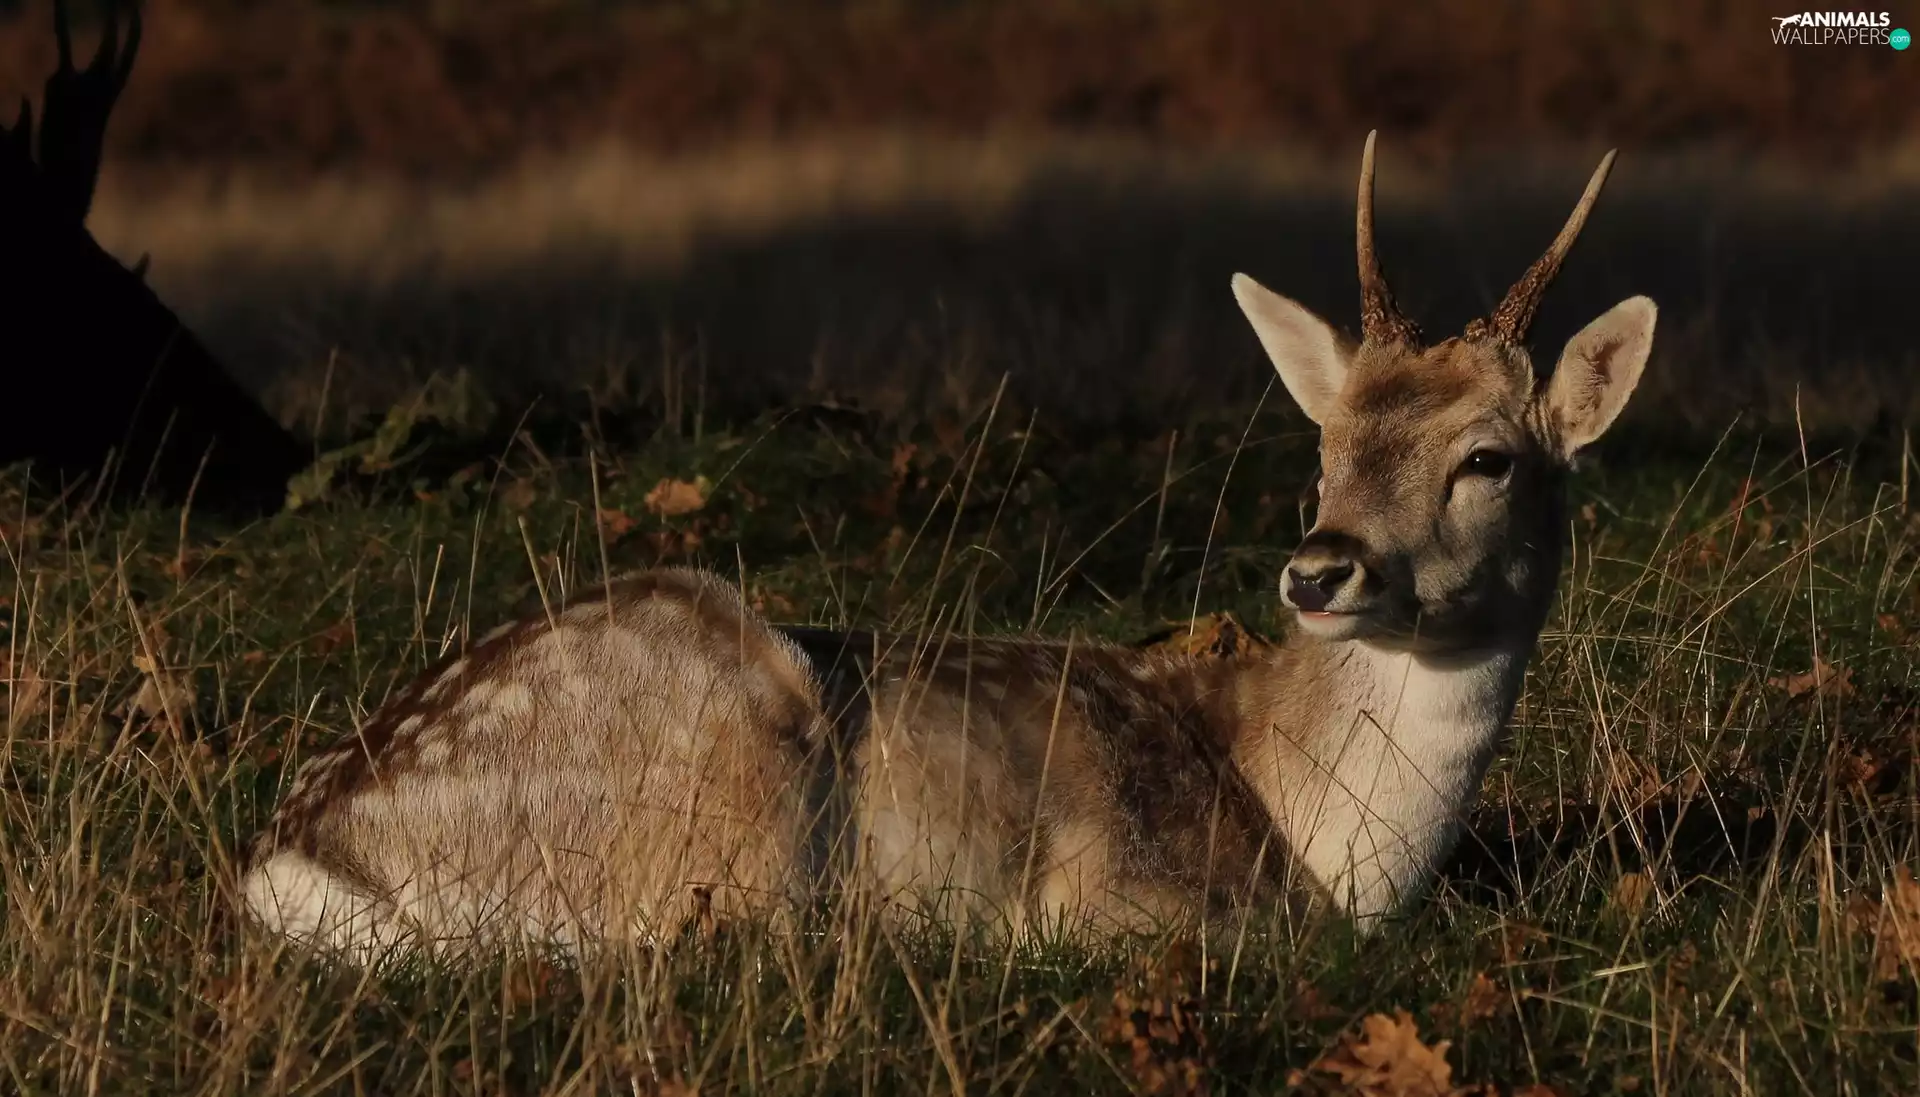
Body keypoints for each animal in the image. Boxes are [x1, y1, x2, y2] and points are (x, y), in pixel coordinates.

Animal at [239, 132, 1655, 963]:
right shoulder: (1128, 890)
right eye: (1326, 446)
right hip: (722, 810)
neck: (1317, 836)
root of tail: (295, 859)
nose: (1320, 568)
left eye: (1488, 456)